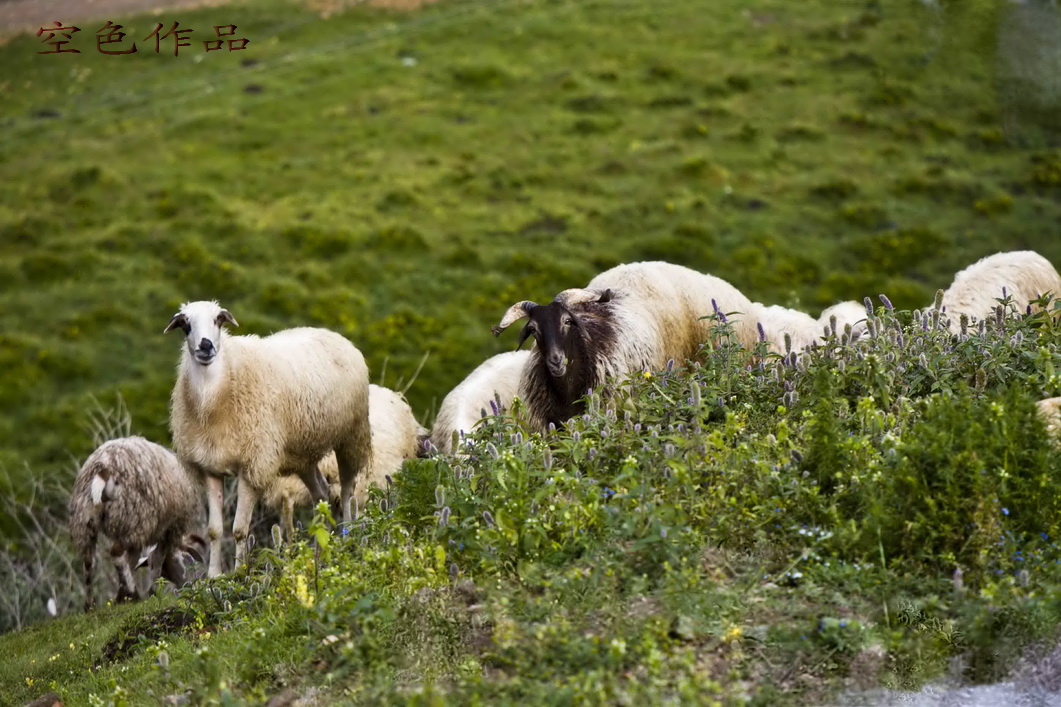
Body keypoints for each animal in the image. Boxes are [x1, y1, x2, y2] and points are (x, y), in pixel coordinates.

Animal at [68, 433, 206, 607]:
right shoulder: (168, 530)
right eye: (182, 561)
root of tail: (104, 467)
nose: (185, 586)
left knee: (88, 561)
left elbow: (133, 561)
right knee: (116, 553)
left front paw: (121, 596)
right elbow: (157, 559)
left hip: (85, 520)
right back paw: (133, 593)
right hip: (133, 517)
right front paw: (151, 592)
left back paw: (90, 605)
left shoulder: (140, 541)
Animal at [168, 299, 373, 577]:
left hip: (351, 435)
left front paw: (240, 572)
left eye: (218, 320)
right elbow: (214, 531)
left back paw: (346, 536)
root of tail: (334, 334)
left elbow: (239, 529)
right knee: (322, 493)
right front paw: (213, 576)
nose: (206, 346)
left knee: (347, 490)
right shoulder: (210, 467)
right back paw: (320, 547)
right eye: (186, 324)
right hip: (302, 451)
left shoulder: (254, 465)